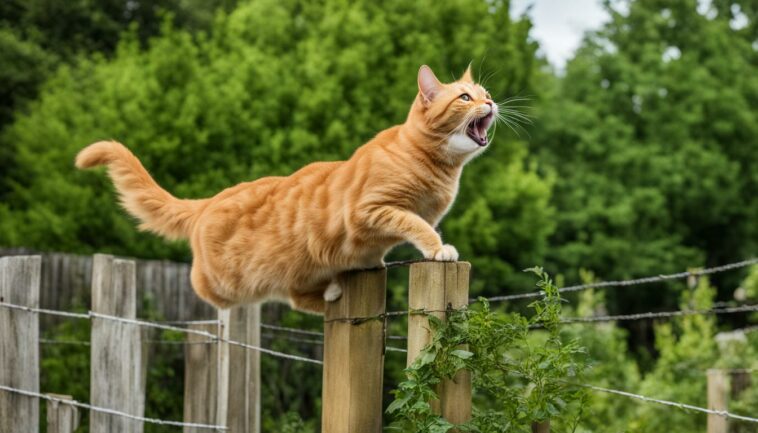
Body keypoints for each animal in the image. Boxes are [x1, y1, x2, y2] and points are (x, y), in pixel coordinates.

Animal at [77, 65, 498, 310]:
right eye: (465, 97)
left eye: (486, 94)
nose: (492, 104)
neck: (435, 165)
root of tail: (210, 200)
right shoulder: (372, 209)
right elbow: (416, 224)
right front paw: (439, 249)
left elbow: (418, 225)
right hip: (224, 281)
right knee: (203, 287)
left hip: (300, 270)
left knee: (298, 297)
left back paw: (334, 290)